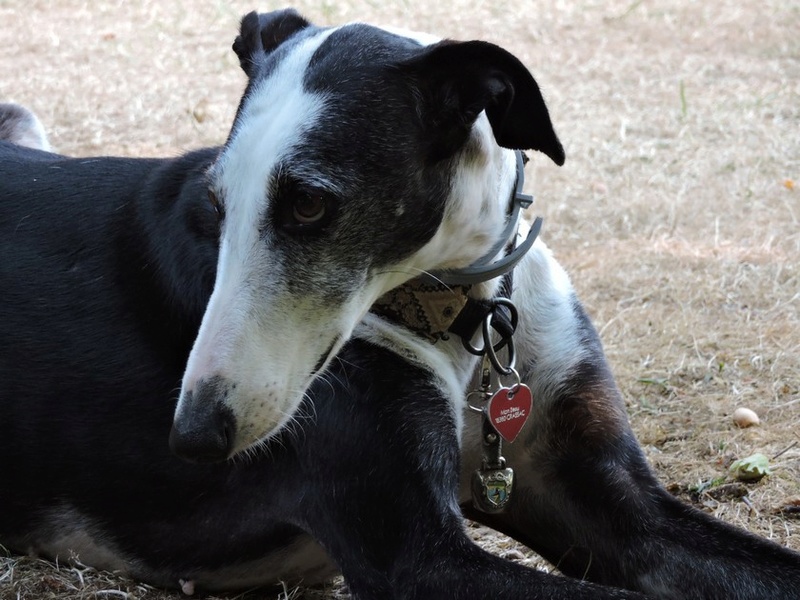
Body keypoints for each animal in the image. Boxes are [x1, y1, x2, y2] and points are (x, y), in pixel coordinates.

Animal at [1, 9, 800, 600]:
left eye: (309, 204)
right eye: (216, 203)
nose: (194, 437)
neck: (467, 313)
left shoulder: (610, 500)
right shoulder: (419, 557)